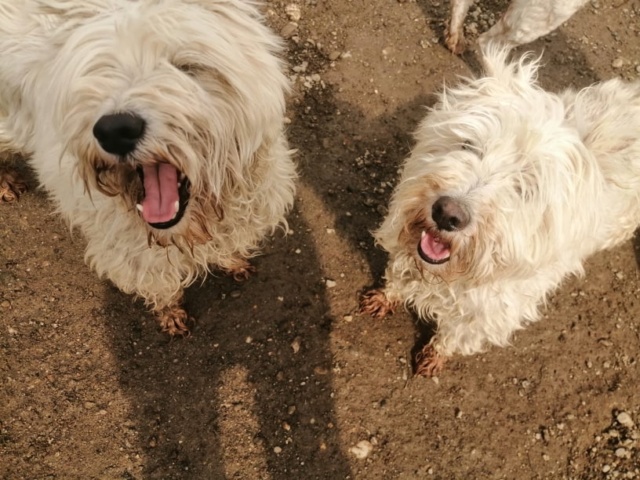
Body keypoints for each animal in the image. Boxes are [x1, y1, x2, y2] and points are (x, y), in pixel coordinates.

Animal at [0, 0, 296, 336]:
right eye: (101, 73)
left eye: (185, 66)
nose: (114, 131)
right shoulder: (131, 255)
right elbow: (160, 286)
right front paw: (170, 312)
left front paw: (233, 260)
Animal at [362, 46, 640, 376]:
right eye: (469, 145)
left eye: (525, 187)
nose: (448, 214)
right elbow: (398, 278)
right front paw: (385, 297)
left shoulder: (487, 315)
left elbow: (454, 336)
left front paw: (435, 356)